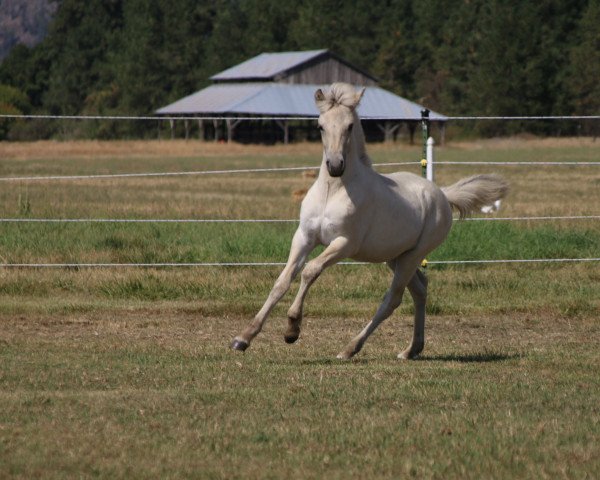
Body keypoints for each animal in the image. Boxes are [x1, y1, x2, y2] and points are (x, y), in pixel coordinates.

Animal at [230, 83, 506, 360]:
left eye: (350, 126)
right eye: (320, 126)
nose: (335, 166)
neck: (333, 191)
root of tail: (442, 194)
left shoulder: (344, 243)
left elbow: (310, 271)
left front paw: (292, 329)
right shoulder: (304, 237)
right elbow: (282, 282)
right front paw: (243, 338)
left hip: (413, 255)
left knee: (393, 299)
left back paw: (350, 348)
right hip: (396, 257)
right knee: (419, 289)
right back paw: (411, 349)